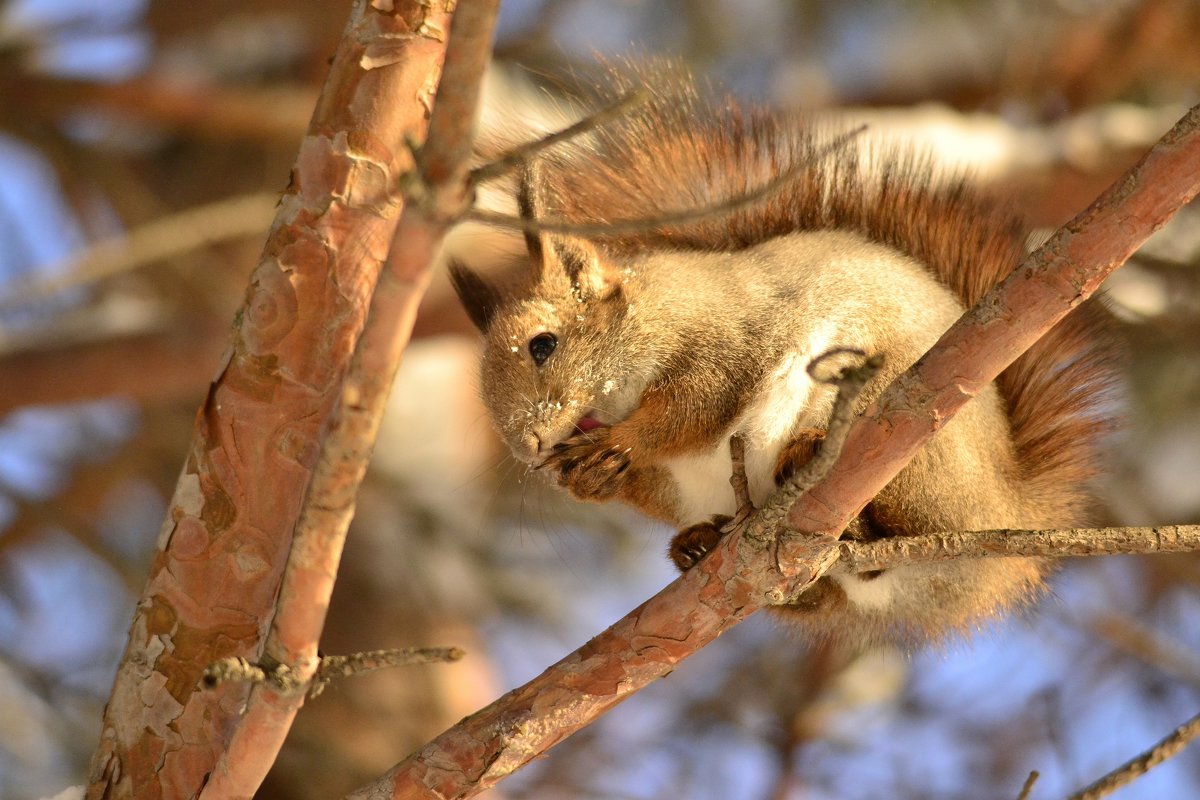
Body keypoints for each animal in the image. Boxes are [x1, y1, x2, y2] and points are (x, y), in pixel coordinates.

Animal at [446, 71, 1118, 647]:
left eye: (543, 344)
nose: (530, 449)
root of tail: (1007, 515)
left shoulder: (723, 338)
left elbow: (699, 403)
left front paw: (624, 442)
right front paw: (589, 477)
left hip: (908, 432)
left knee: (900, 521)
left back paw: (821, 471)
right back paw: (699, 546)